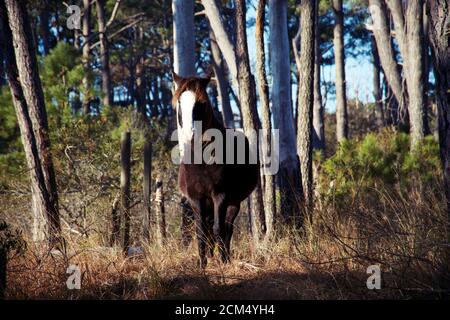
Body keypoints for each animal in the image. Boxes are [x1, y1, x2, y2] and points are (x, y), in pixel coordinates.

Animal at [171, 72, 256, 268]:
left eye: (201, 103)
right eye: (179, 102)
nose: (190, 135)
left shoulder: (220, 196)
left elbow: (219, 228)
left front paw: (223, 261)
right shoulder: (196, 198)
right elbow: (201, 231)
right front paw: (202, 263)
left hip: (234, 203)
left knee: (227, 228)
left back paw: (225, 256)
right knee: (209, 228)